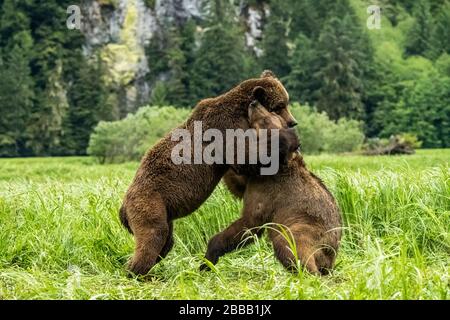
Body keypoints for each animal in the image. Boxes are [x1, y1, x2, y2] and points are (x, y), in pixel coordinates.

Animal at [119, 70, 298, 276]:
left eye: (286, 102)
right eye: (279, 106)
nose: (293, 122)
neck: (242, 111)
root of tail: (123, 207)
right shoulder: (225, 127)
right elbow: (243, 157)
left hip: (163, 212)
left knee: (165, 242)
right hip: (149, 203)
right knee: (153, 237)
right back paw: (136, 272)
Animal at [200, 100, 342, 276]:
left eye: (265, 119)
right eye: (272, 112)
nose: (254, 102)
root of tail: (331, 257)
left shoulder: (267, 188)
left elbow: (250, 221)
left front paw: (209, 257)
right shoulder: (254, 178)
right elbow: (238, 184)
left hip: (307, 228)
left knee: (289, 245)